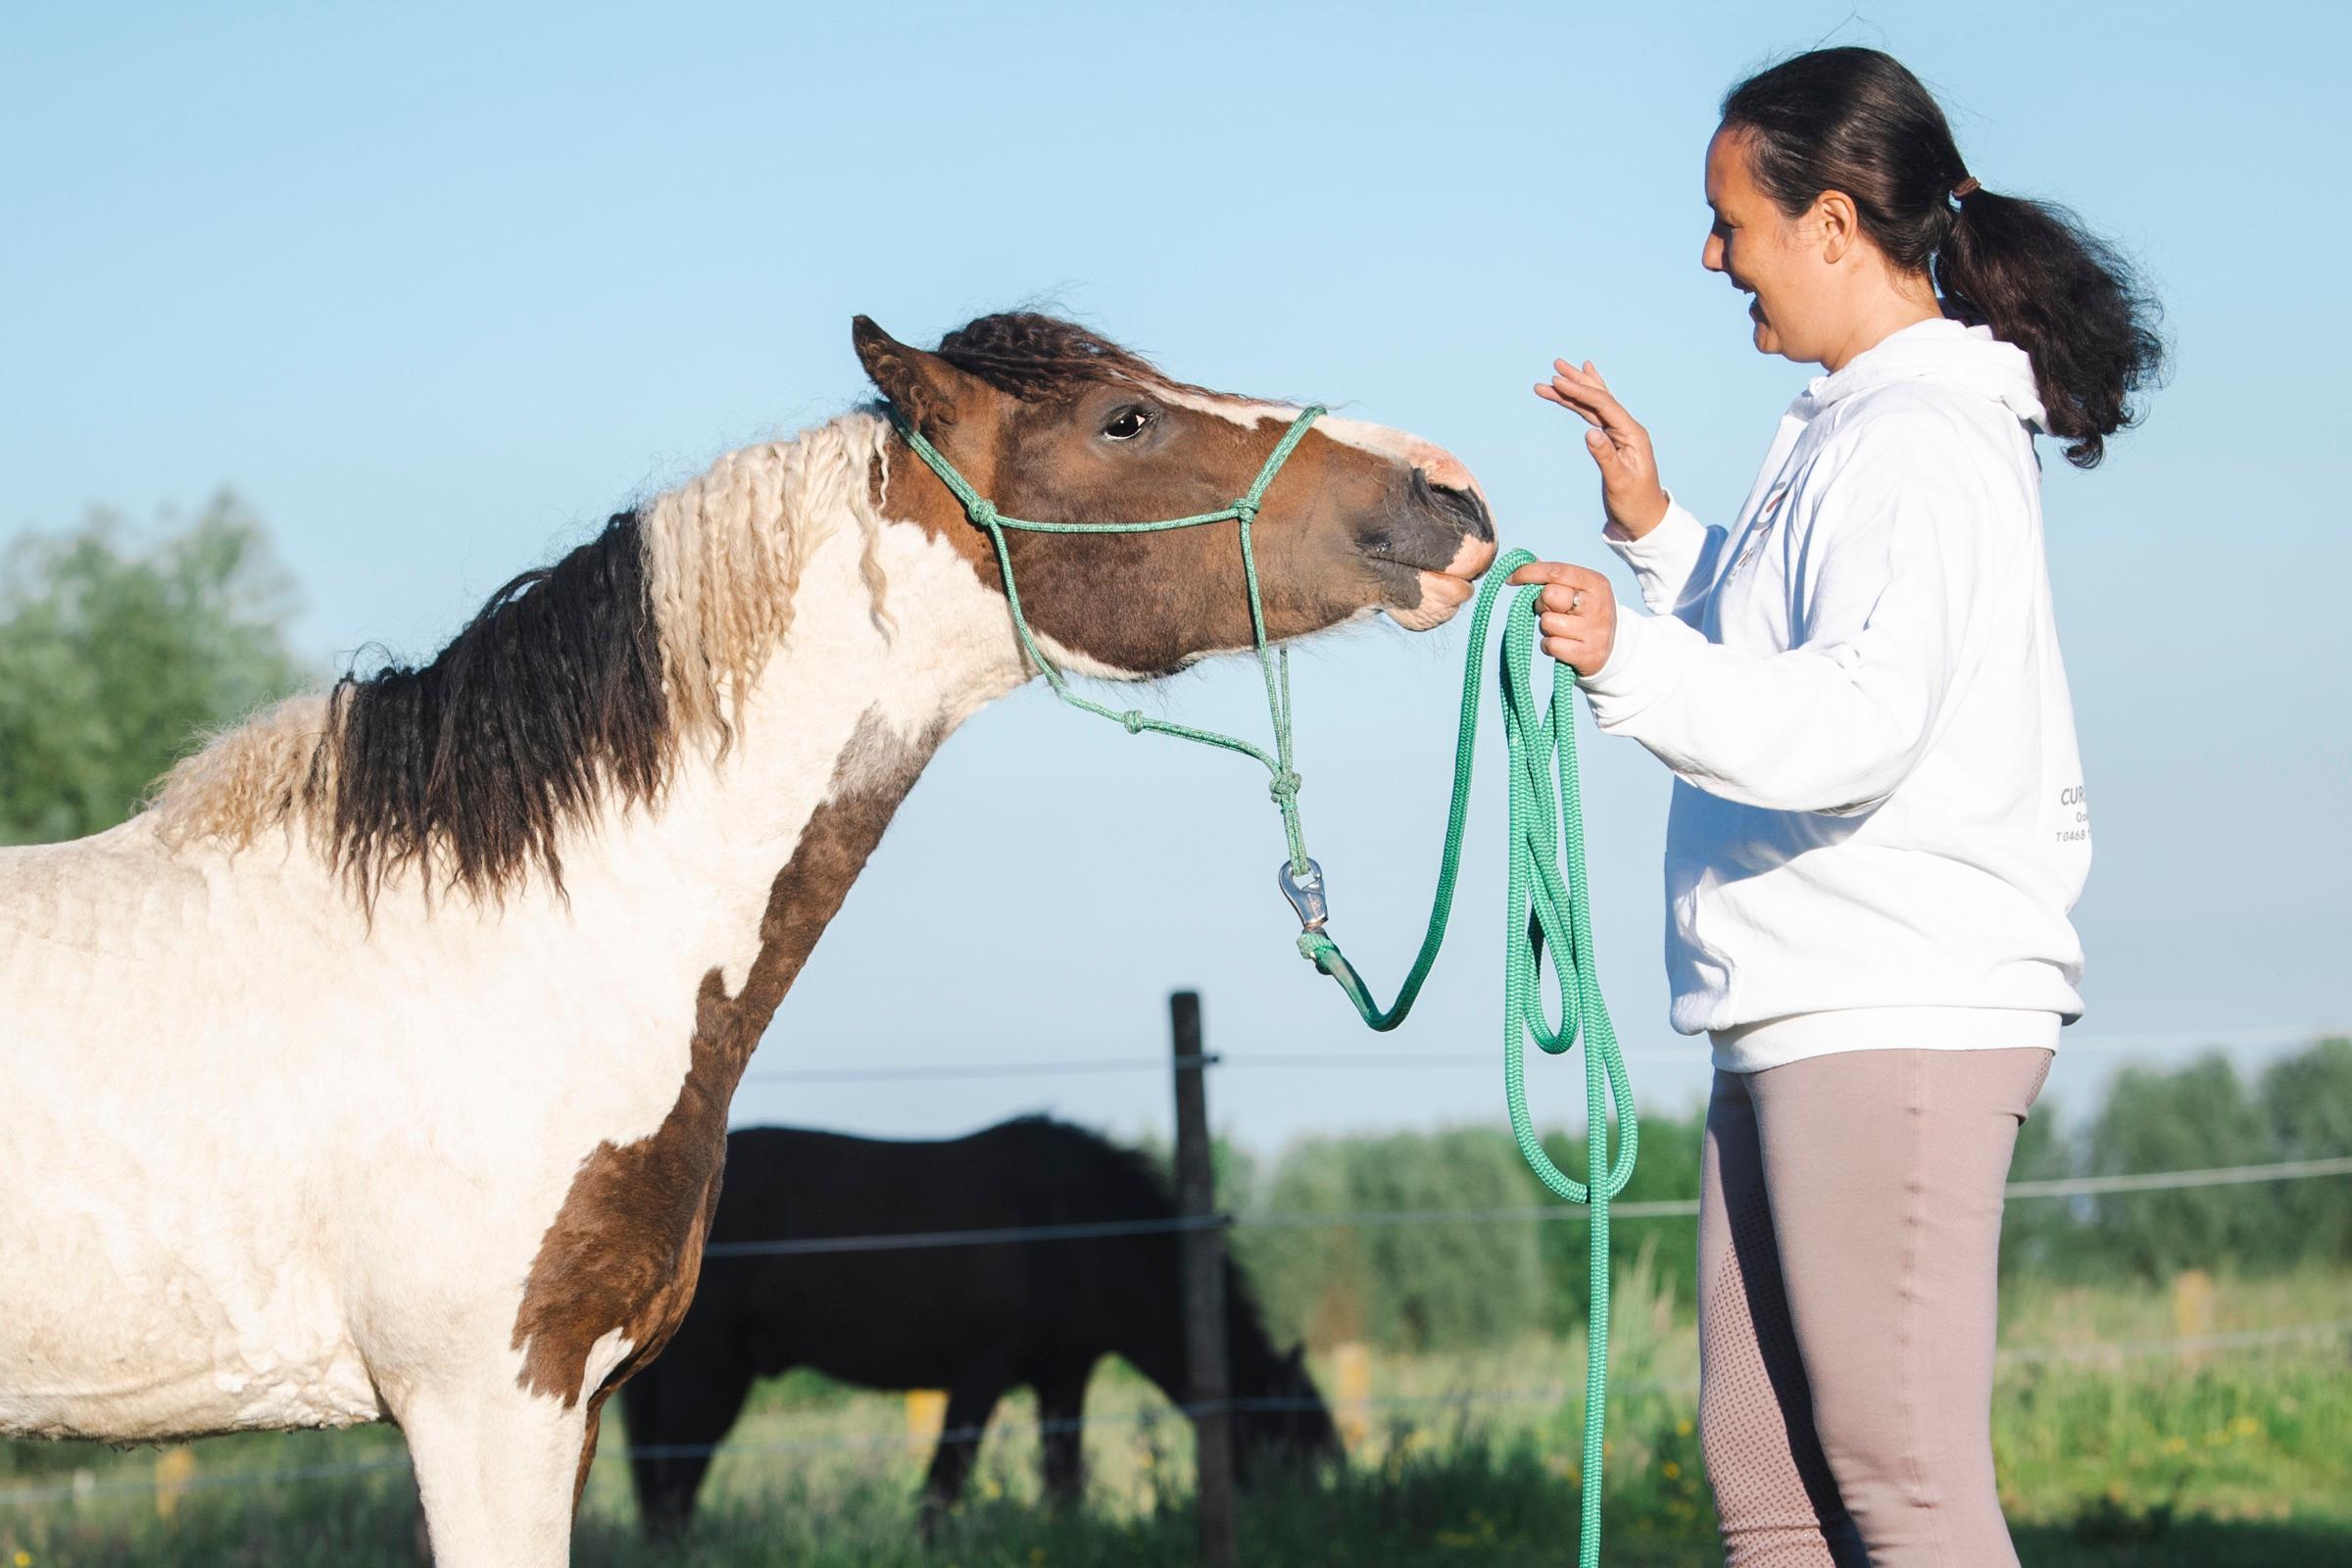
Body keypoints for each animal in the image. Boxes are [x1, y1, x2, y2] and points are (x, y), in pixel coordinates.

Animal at [622, 1118, 1340, 1535]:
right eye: (1290, 1444)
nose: (1298, 1519)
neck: (1077, 1225)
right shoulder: (980, 1377)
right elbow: (943, 1493)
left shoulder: (1063, 1378)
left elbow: (1062, 1485)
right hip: (708, 1377)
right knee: (672, 1493)